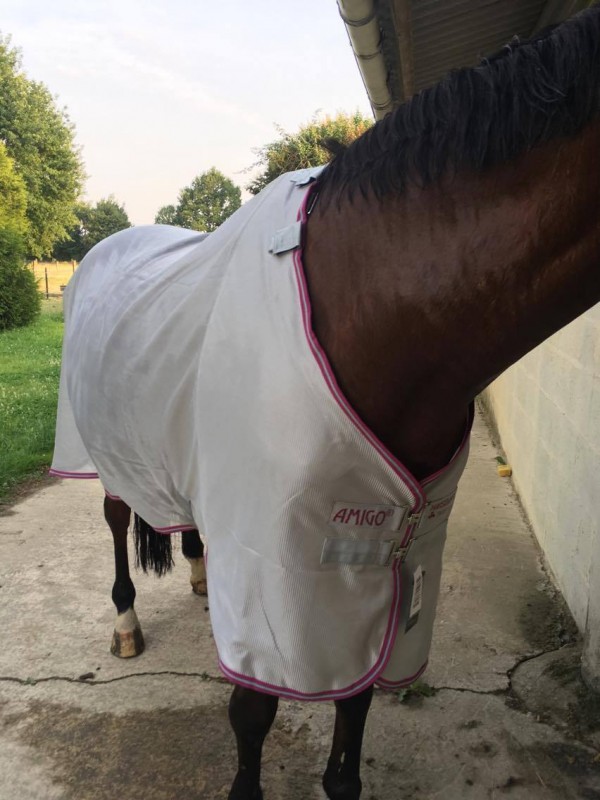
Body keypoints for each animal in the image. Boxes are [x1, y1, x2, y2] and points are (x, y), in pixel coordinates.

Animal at [50, 7, 600, 799]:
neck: (376, 310)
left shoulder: (381, 567)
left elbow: (356, 702)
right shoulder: (276, 578)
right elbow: (253, 711)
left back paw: (198, 577)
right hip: (102, 452)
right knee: (117, 520)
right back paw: (125, 625)